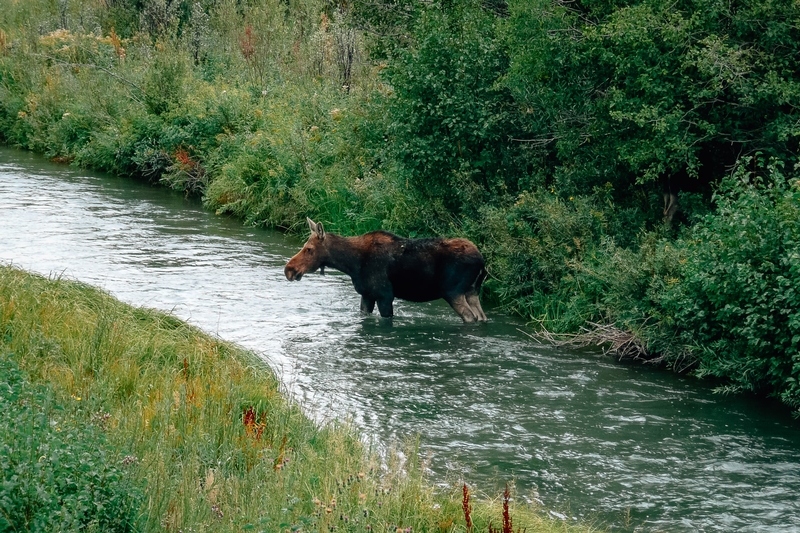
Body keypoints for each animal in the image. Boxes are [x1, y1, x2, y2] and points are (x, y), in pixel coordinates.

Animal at [284, 218, 490, 322]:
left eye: (309, 249)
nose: (289, 269)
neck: (351, 264)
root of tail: (482, 261)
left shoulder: (385, 295)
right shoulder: (367, 294)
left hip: (453, 291)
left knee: (471, 317)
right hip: (472, 291)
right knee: (481, 317)